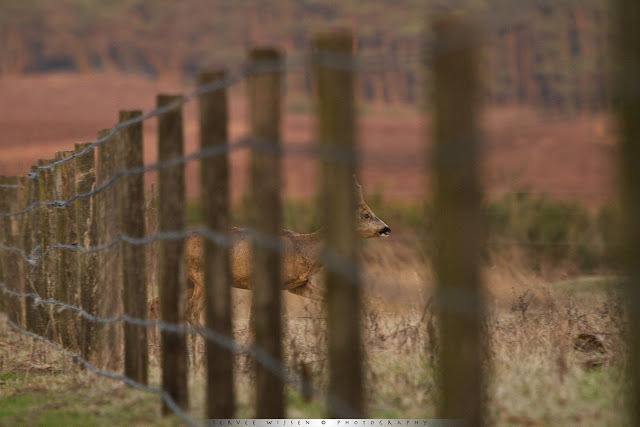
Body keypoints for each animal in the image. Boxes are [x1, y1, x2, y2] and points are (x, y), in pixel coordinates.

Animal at [151, 176, 390, 326]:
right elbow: (253, 322)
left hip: (187, 280)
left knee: (154, 303)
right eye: (366, 214)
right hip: (201, 275)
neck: (305, 250)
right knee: (191, 311)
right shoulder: (260, 282)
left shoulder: (299, 286)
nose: (386, 229)